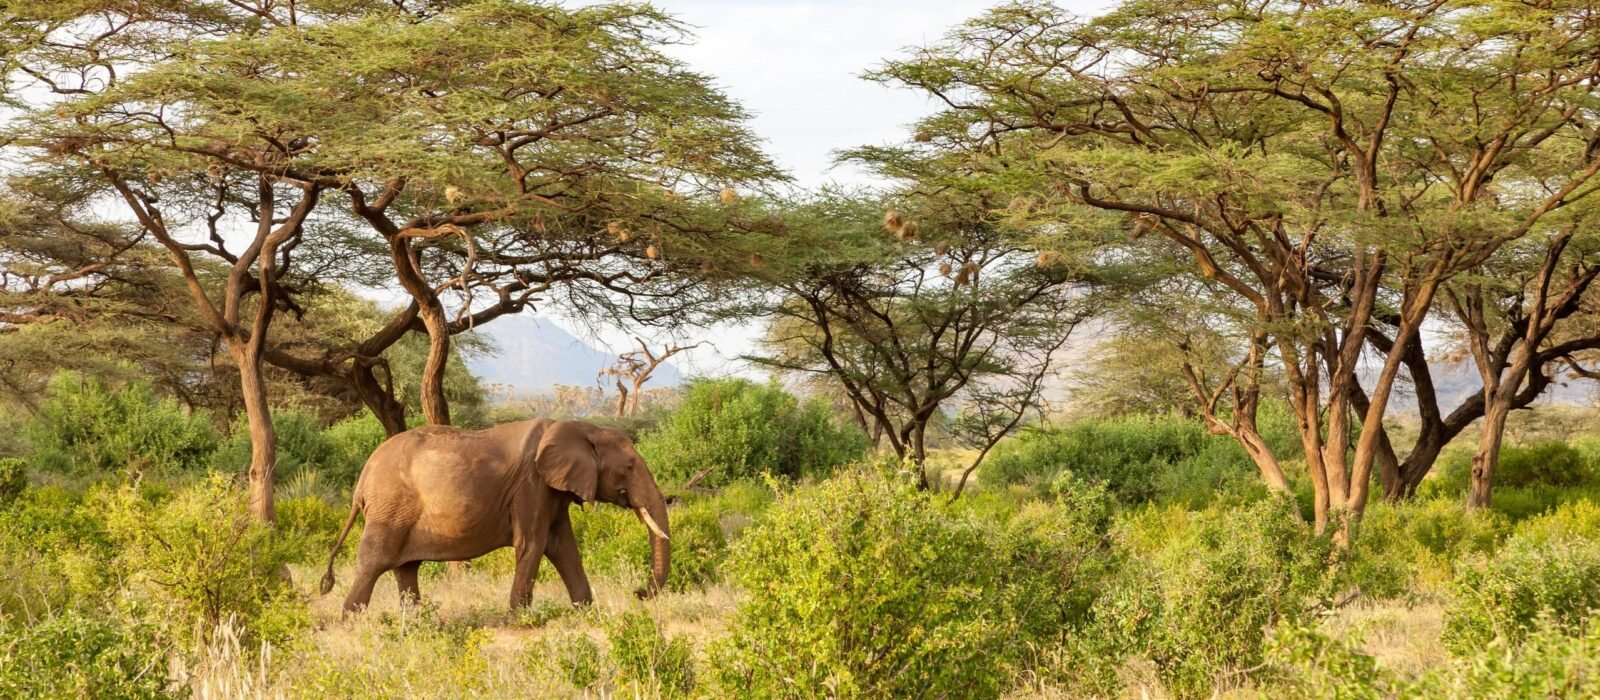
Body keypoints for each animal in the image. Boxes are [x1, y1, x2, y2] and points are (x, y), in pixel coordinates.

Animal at [318, 418, 668, 610]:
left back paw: (415, 623)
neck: (581, 426)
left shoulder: (551, 492)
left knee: (405, 568)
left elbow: (563, 546)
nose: (638, 592)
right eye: (630, 467)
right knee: (374, 563)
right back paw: (352, 621)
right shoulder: (532, 485)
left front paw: (584, 611)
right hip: (390, 508)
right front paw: (519, 618)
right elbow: (533, 544)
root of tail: (362, 480)